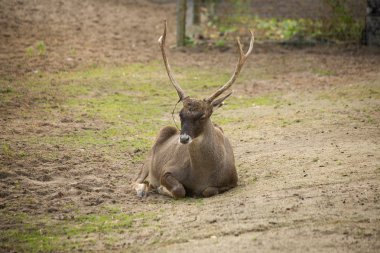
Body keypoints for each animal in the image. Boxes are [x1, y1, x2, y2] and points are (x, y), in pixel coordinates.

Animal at [133, 20, 252, 199]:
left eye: (203, 116)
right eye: (180, 114)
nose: (183, 138)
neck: (201, 175)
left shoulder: (232, 180)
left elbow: (209, 190)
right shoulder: (168, 169)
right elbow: (179, 189)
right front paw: (161, 188)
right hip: (149, 156)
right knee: (135, 179)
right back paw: (143, 189)